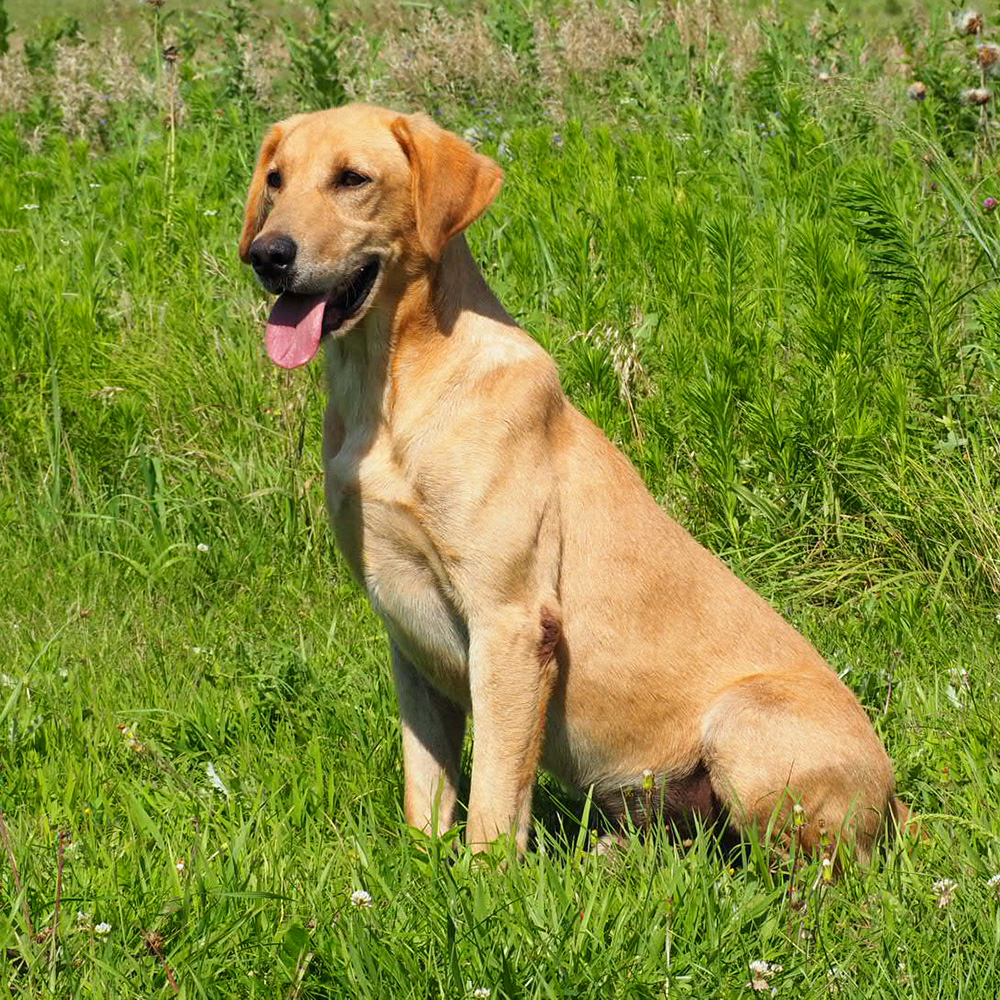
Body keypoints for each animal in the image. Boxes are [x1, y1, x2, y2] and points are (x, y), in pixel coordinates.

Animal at [242, 105, 908, 864]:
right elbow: (428, 788)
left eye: (352, 179)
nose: (267, 255)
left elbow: (494, 795)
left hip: (744, 725)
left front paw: (482, 883)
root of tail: (896, 802)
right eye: (275, 179)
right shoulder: (407, 635)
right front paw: (421, 867)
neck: (389, 390)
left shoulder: (510, 621)